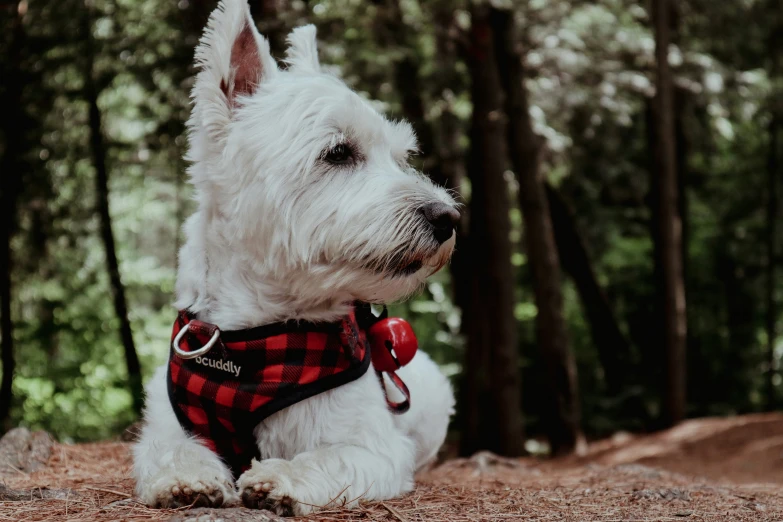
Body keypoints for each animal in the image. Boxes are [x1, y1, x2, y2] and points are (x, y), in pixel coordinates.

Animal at [132, 0, 456, 512]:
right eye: (338, 153)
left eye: (401, 157)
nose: (448, 218)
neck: (258, 339)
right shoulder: (168, 427)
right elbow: (171, 451)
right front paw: (187, 478)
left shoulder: (372, 446)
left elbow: (324, 458)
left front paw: (277, 478)